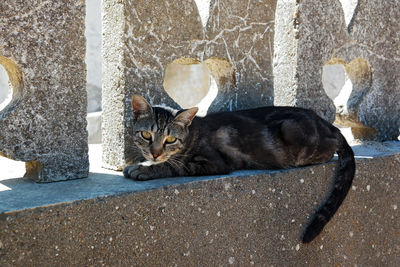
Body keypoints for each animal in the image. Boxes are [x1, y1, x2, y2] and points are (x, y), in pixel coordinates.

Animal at [123, 95, 354, 244]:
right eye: (146, 135)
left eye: (170, 139)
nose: (154, 153)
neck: (192, 133)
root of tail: (328, 124)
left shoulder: (214, 162)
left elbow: (173, 165)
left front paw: (144, 168)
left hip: (292, 130)